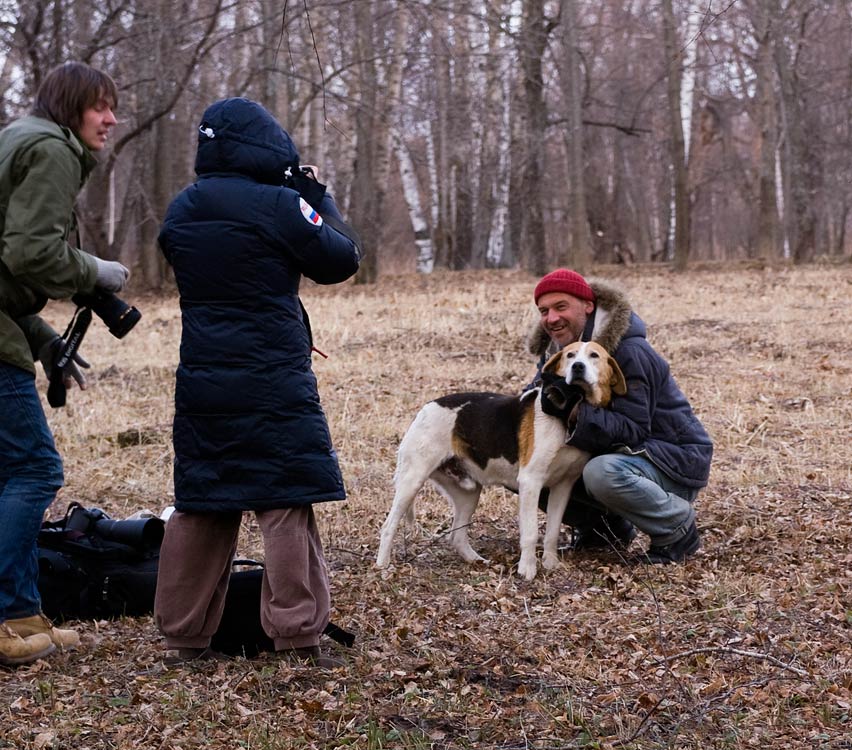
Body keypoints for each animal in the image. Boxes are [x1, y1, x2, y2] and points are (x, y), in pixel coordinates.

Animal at [376, 340, 628, 580]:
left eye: (594, 355)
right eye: (570, 355)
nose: (578, 367)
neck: (568, 414)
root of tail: (425, 409)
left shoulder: (563, 486)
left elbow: (552, 532)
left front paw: (550, 564)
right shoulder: (531, 482)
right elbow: (530, 532)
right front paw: (527, 570)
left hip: (468, 493)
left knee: (457, 536)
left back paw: (476, 561)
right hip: (412, 481)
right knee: (388, 526)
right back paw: (382, 566)